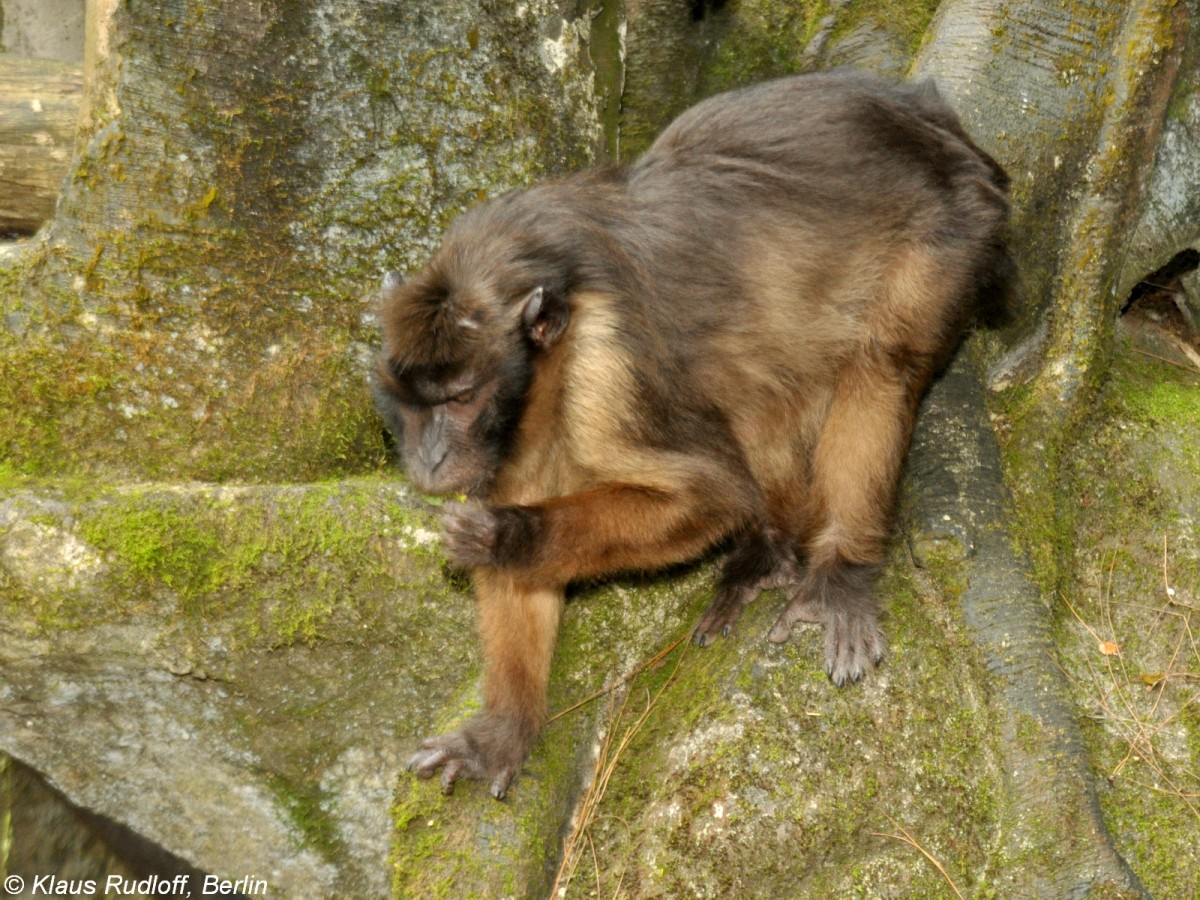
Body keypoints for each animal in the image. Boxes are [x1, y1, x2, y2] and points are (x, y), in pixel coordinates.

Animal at [374, 72, 1012, 801]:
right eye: (408, 405)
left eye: (459, 400)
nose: (428, 457)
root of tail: (927, 110)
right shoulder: (526, 420)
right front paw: (504, 731)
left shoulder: (605, 368)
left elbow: (711, 495)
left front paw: (509, 535)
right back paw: (772, 547)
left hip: (952, 228)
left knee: (880, 360)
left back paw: (835, 570)